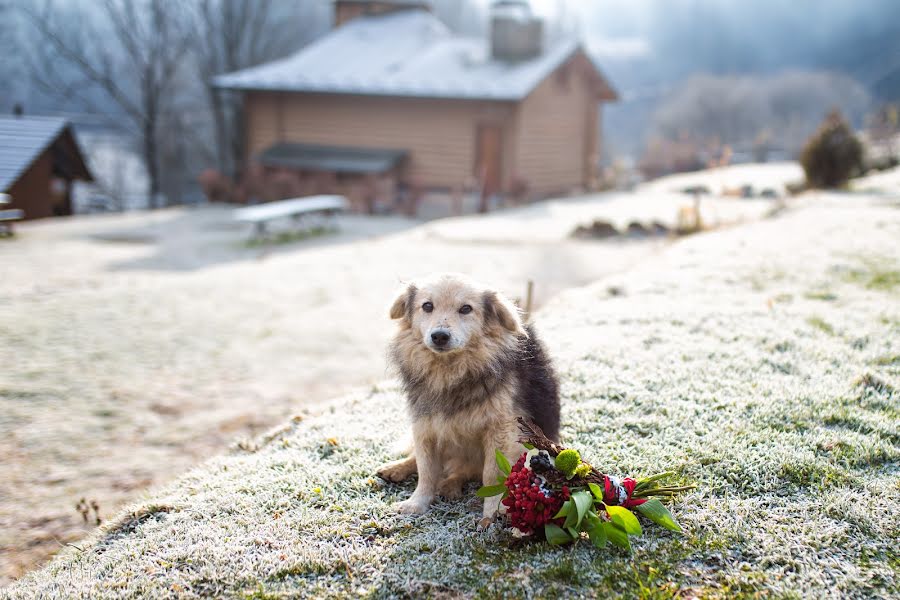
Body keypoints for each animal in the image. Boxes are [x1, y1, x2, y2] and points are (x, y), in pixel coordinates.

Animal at [376, 272, 560, 524]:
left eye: (466, 309)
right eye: (427, 306)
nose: (440, 336)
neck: (450, 372)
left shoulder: (501, 429)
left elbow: (492, 473)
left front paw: (493, 512)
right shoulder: (424, 423)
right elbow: (426, 468)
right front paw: (417, 502)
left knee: (464, 471)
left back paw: (450, 485)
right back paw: (398, 469)